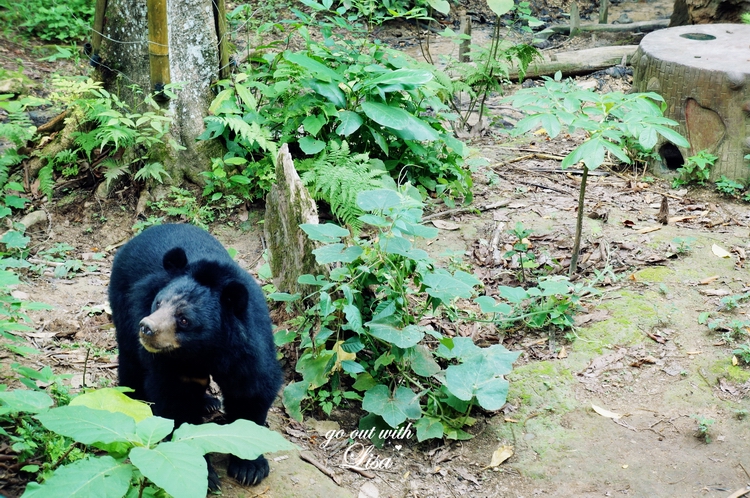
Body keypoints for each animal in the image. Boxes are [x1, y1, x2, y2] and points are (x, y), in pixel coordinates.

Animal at [107, 224, 280, 488]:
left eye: (184, 319)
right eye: (159, 302)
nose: (147, 328)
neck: (205, 350)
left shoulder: (248, 348)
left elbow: (251, 391)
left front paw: (250, 468)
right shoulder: (170, 363)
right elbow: (175, 401)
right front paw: (205, 473)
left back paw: (209, 402)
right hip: (122, 303)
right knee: (131, 361)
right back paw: (134, 398)